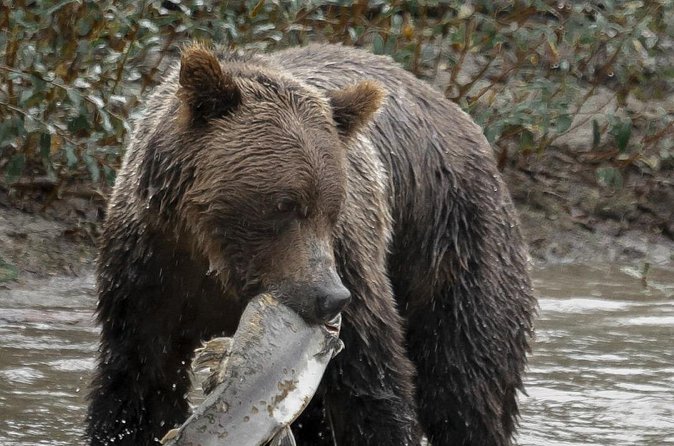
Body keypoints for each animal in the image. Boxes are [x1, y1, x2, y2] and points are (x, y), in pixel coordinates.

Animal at [86, 43, 536, 446]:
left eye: (331, 207)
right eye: (285, 204)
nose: (330, 297)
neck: (214, 258)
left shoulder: (352, 262)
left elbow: (371, 386)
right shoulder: (149, 270)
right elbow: (140, 384)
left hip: (454, 238)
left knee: (465, 379)